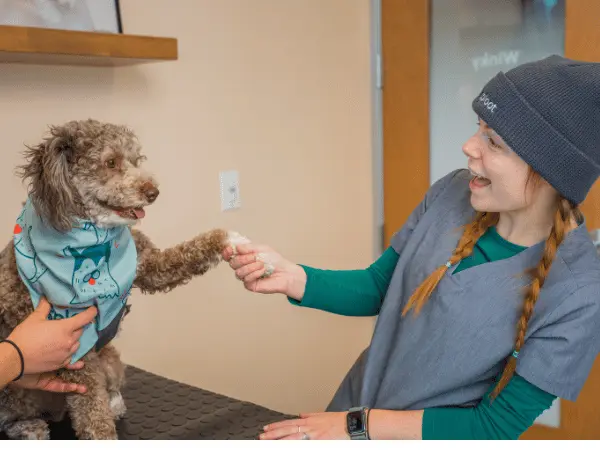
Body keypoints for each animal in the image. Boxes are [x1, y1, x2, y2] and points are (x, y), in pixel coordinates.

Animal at [0, 119, 247, 440]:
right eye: (110, 162)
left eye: (135, 160)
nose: (153, 192)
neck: (91, 240)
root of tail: (52, 411)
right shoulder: (71, 347)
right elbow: (91, 411)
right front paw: (102, 435)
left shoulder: (150, 265)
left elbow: (185, 253)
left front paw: (226, 239)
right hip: (15, 389)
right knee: (12, 417)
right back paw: (29, 427)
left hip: (111, 359)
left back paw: (114, 403)